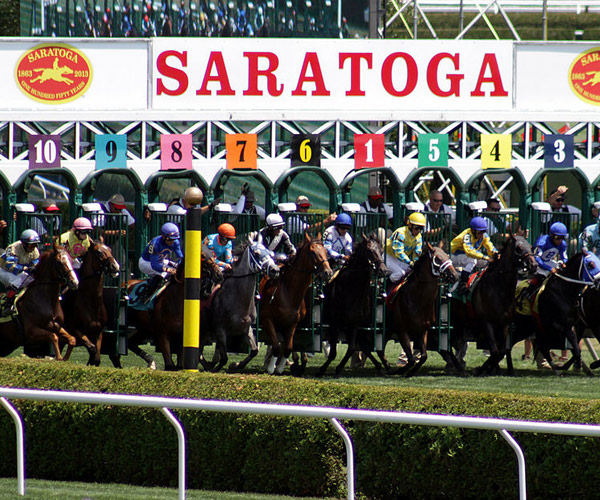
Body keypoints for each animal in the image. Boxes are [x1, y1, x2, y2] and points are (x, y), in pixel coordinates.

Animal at [199, 240, 278, 374]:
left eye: (270, 253)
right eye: (256, 253)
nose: (275, 270)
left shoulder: (246, 328)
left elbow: (254, 351)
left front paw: (236, 365)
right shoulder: (220, 330)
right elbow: (224, 358)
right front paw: (216, 369)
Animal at [258, 234, 332, 376]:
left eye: (325, 251)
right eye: (313, 252)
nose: (328, 272)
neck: (287, 293)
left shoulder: (292, 324)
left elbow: (288, 347)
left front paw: (281, 367)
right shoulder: (267, 319)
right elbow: (276, 346)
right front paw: (271, 368)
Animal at [318, 233, 390, 376]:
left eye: (381, 250)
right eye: (369, 250)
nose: (383, 270)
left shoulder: (354, 324)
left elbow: (352, 348)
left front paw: (338, 368)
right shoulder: (335, 323)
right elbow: (333, 352)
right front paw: (323, 368)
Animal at [386, 242, 458, 376]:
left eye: (447, 255)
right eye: (438, 259)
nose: (454, 276)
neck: (417, 301)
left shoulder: (422, 330)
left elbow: (423, 356)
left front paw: (410, 372)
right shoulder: (401, 330)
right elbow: (411, 360)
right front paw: (399, 371)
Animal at [450, 235, 536, 376]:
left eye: (530, 246)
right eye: (518, 248)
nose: (533, 265)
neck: (498, 288)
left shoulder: (504, 323)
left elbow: (502, 350)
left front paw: (496, 369)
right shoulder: (486, 322)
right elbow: (495, 351)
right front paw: (481, 369)